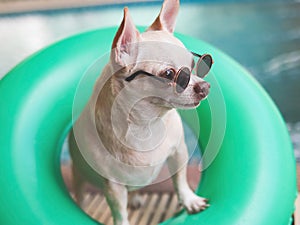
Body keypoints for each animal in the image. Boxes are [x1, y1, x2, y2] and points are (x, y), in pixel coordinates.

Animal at [69, 0, 212, 224]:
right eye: (169, 74)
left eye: (193, 65)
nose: (205, 87)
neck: (147, 123)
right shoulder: (113, 186)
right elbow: (119, 212)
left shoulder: (178, 152)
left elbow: (180, 180)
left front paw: (190, 200)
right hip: (78, 174)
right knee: (81, 192)